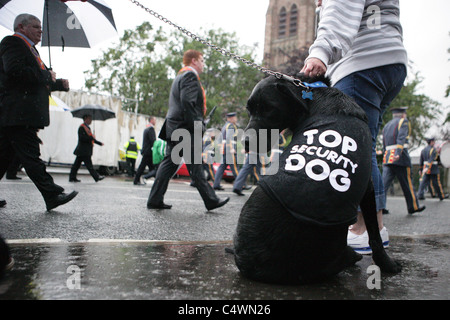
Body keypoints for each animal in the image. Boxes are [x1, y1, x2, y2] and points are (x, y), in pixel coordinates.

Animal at [230, 74, 402, 284]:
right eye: (249, 110)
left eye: (269, 108)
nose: (245, 143)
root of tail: (250, 267)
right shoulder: (367, 186)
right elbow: (374, 235)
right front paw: (387, 264)